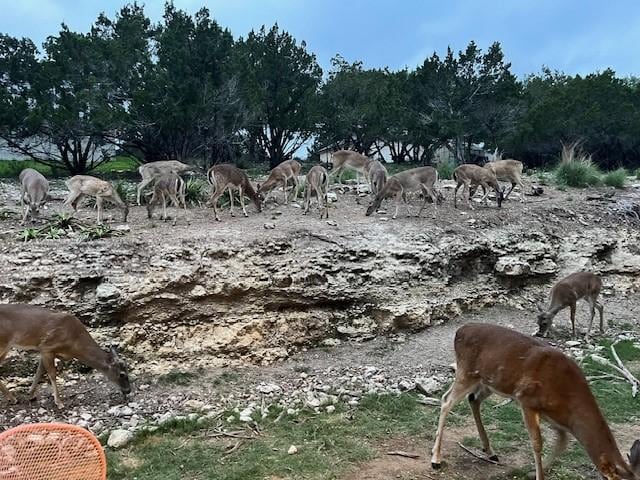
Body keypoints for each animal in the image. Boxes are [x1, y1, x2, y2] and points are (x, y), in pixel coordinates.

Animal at [0, 304, 131, 408]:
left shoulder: (45, 351)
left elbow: (40, 371)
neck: (74, 344)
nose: (128, 390)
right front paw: (59, 402)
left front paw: (31, 394)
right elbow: (52, 374)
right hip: (3, 343)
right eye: (122, 374)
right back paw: (12, 398)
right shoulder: (47, 346)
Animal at [430, 322, 640, 480]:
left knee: (473, 399)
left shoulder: (551, 414)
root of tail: (460, 330)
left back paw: (490, 451)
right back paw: (436, 460)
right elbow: (537, 442)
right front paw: (538, 475)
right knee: (446, 400)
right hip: (466, 371)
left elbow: (562, 441)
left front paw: (534, 472)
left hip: (489, 382)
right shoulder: (527, 400)